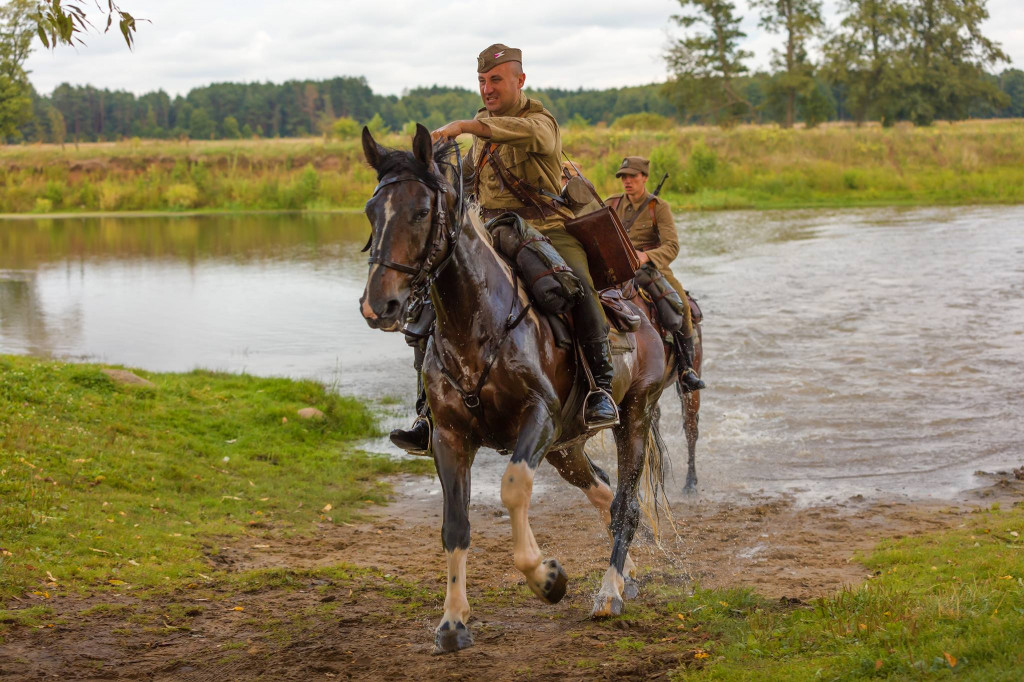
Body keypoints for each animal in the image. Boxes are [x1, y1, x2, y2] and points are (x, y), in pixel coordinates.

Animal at [360, 123, 679, 655]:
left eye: (421, 211)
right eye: (371, 211)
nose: (378, 305)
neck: (478, 322)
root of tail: (643, 308)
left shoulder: (538, 418)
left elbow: (513, 489)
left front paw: (547, 578)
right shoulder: (449, 436)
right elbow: (455, 524)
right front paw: (453, 623)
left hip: (631, 418)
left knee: (625, 506)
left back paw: (610, 592)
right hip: (566, 448)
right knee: (602, 491)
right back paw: (628, 575)